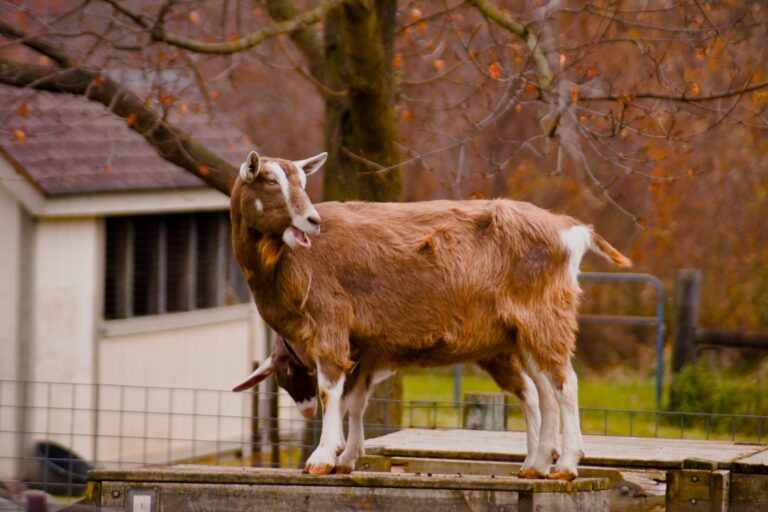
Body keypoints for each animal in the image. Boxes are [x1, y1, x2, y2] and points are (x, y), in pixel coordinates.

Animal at [231, 151, 632, 480]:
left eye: (302, 180)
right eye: (271, 181)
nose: (312, 220)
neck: (282, 261)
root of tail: (571, 229)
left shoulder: (330, 324)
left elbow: (332, 392)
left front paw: (323, 457)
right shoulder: (363, 350)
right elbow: (354, 400)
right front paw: (347, 458)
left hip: (546, 317)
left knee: (565, 383)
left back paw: (566, 465)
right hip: (522, 334)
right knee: (544, 389)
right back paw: (536, 465)